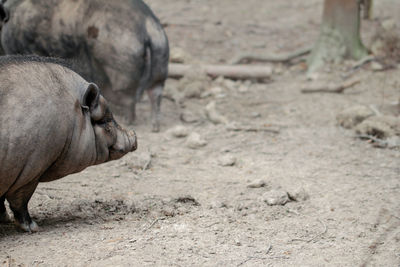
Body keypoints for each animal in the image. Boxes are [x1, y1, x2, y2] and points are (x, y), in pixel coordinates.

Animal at [0, 0, 169, 133]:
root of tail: (149, 30)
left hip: (121, 69)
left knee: (129, 100)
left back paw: (129, 120)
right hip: (160, 68)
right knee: (155, 94)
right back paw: (155, 126)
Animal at [0, 55, 138, 232]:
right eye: (106, 120)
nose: (134, 136)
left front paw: (5, 219)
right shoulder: (30, 169)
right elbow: (20, 201)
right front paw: (33, 227)